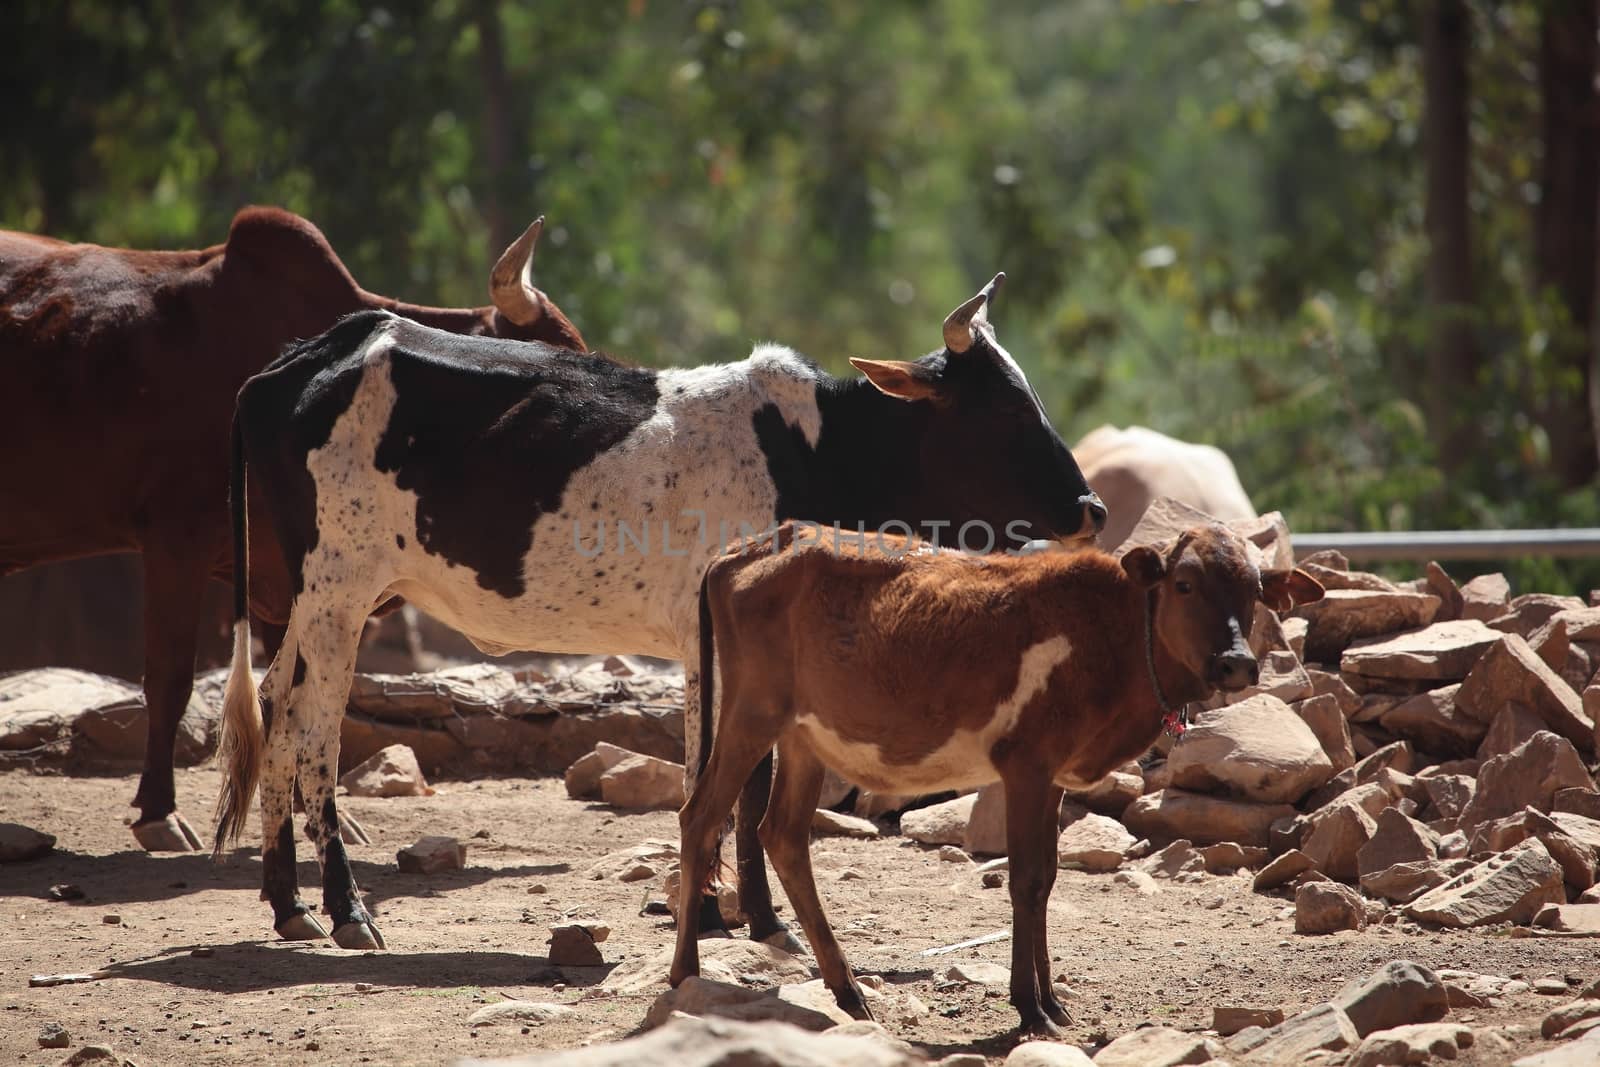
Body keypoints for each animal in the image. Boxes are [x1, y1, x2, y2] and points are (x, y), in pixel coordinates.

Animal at [212, 275, 1107, 953]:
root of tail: (313, 355)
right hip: (339, 589)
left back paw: (288, 903)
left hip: (315, 603)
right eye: (1002, 411)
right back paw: (345, 909)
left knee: (280, 716)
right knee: (314, 733)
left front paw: (715, 910)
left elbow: (720, 775)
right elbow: (740, 782)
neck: (815, 447)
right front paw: (752, 919)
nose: (1092, 507)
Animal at [675, 521, 1324, 1036]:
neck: (1114, 636)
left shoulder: (1055, 776)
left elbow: (1048, 880)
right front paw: (1029, 1008)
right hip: (751, 712)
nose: (1236, 663)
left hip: (805, 735)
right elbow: (1025, 879)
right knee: (701, 817)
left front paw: (1053, 1002)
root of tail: (756, 544)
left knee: (782, 833)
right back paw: (686, 972)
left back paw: (847, 990)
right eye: (1184, 585)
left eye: (1256, 592)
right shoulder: (1026, 766)